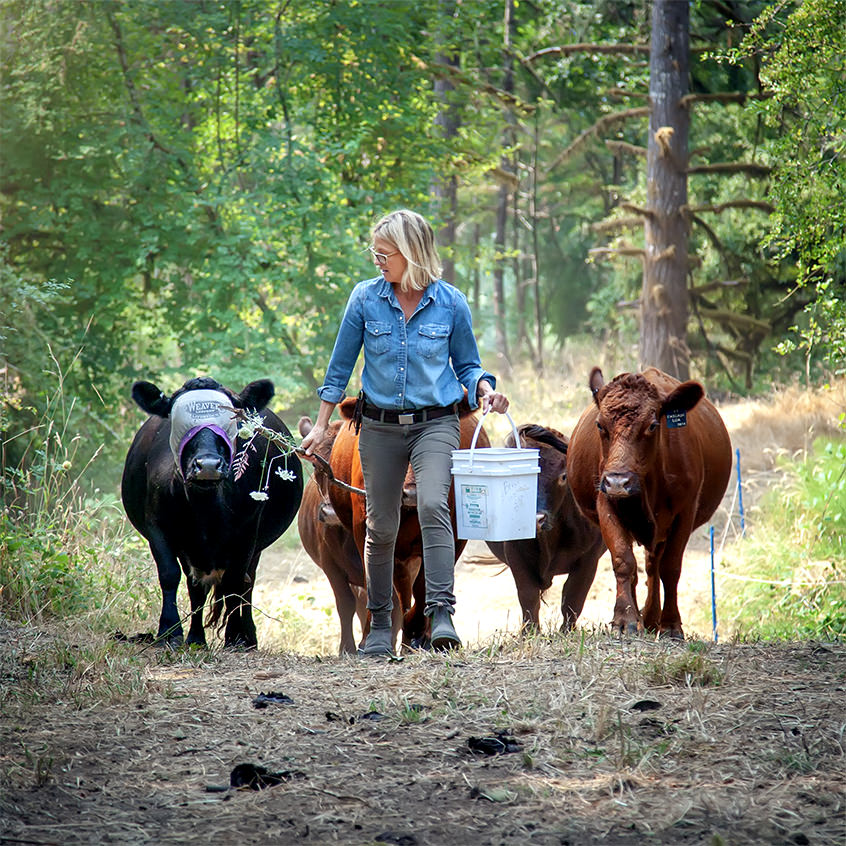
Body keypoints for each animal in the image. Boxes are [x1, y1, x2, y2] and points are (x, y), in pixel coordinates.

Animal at [119, 378, 304, 648]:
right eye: (176, 420)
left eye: (233, 420)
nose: (207, 465)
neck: (206, 510)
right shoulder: (157, 528)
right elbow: (170, 574)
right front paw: (170, 631)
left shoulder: (247, 532)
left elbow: (236, 581)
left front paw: (236, 636)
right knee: (196, 586)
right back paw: (196, 637)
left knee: (246, 581)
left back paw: (247, 635)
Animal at [486, 428, 608, 632]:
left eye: (564, 476)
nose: (536, 519)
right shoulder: (515, 554)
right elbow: (528, 596)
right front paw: (530, 632)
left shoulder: (589, 559)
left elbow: (573, 597)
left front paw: (567, 631)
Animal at [568, 368, 736, 640]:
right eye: (600, 425)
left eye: (653, 425)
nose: (618, 482)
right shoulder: (605, 502)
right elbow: (623, 561)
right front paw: (625, 619)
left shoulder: (684, 512)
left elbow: (671, 567)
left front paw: (670, 624)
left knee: (653, 566)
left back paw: (651, 618)